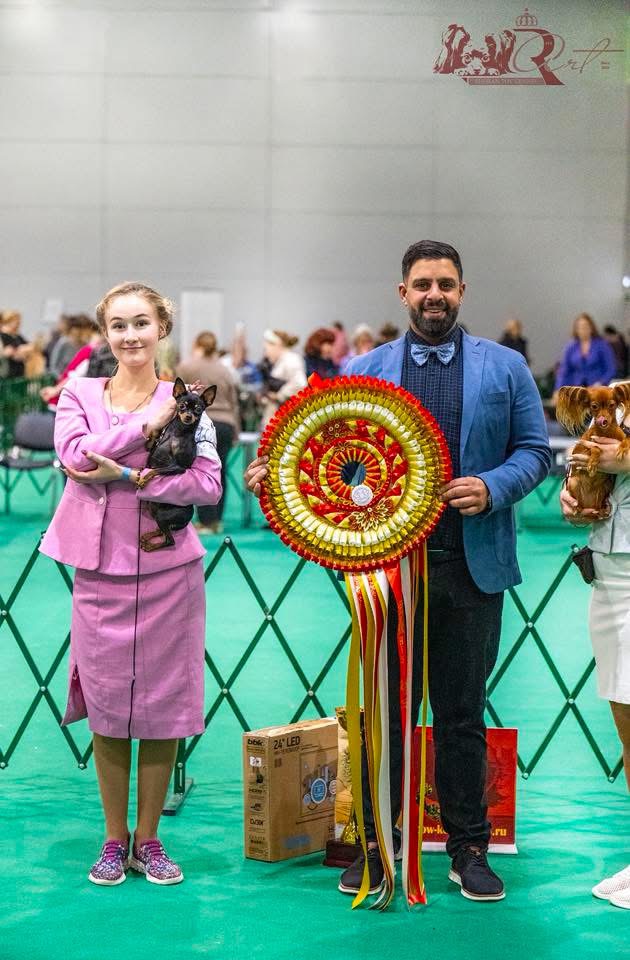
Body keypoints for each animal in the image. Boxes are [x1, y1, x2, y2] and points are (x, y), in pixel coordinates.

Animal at [138, 377, 217, 552]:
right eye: (182, 406)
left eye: (198, 410)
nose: (188, 416)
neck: (177, 432)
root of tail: (188, 518)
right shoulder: (152, 447)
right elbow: (153, 437)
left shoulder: (178, 468)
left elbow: (156, 470)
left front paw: (143, 479)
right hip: (154, 509)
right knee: (162, 530)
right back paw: (148, 536)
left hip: (162, 515)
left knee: (169, 540)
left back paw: (150, 546)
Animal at [556, 383, 630, 516]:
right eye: (594, 406)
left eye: (612, 405)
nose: (603, 420)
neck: (606, 432)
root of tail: (589, 505)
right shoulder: (581, 450)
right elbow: (595, 447)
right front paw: (592, 463)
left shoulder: (621, 437)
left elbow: (626, 440)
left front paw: (622, 449)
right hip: (573, 483)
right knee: (578, 504)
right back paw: (577, 509)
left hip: (606, 487)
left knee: (598, 506)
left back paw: (602, 511)